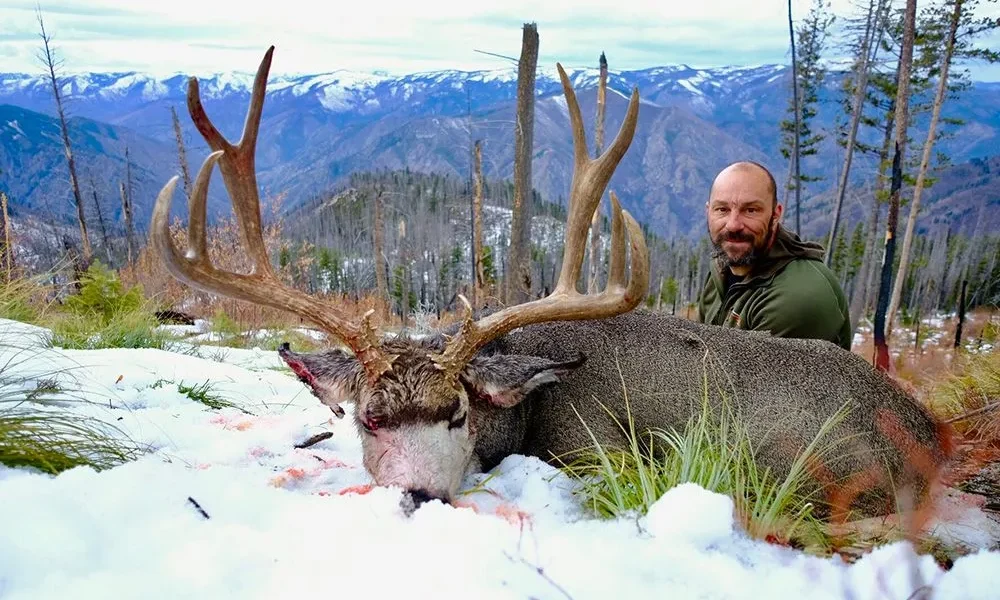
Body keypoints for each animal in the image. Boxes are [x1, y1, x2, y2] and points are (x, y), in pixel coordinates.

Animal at [150, 46, 954, 522]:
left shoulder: (594, 448)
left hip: (824, 469)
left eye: (459, 414)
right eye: (370, 421)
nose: (419, 493)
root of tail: (928, 436)